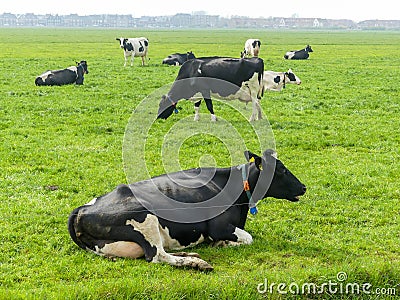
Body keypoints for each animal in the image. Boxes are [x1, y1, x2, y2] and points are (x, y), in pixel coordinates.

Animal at [69, 150, 306, 272]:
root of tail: (82, 209)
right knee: (157, 255)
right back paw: (198, 262)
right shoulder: (219, 226)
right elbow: (247, 238)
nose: (304, 187)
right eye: (281, 170)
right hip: (145, 218)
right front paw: (223, 243)